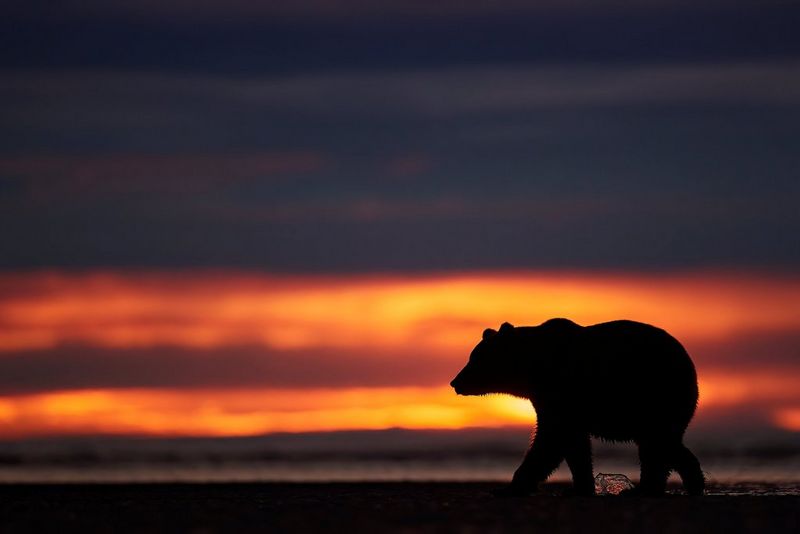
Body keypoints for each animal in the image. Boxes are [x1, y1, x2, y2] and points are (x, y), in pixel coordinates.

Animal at [450, 318, 705, 496]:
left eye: (475, 358)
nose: (455, 382)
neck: (533, 369)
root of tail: (690, 365)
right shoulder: (553, 401)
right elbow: (574, 445)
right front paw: (580, 486)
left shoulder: (562, 392)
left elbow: (550, 441)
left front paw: (510, 487)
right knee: (659, 446)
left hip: (657, 396)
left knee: (659, 443)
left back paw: (652, 488)